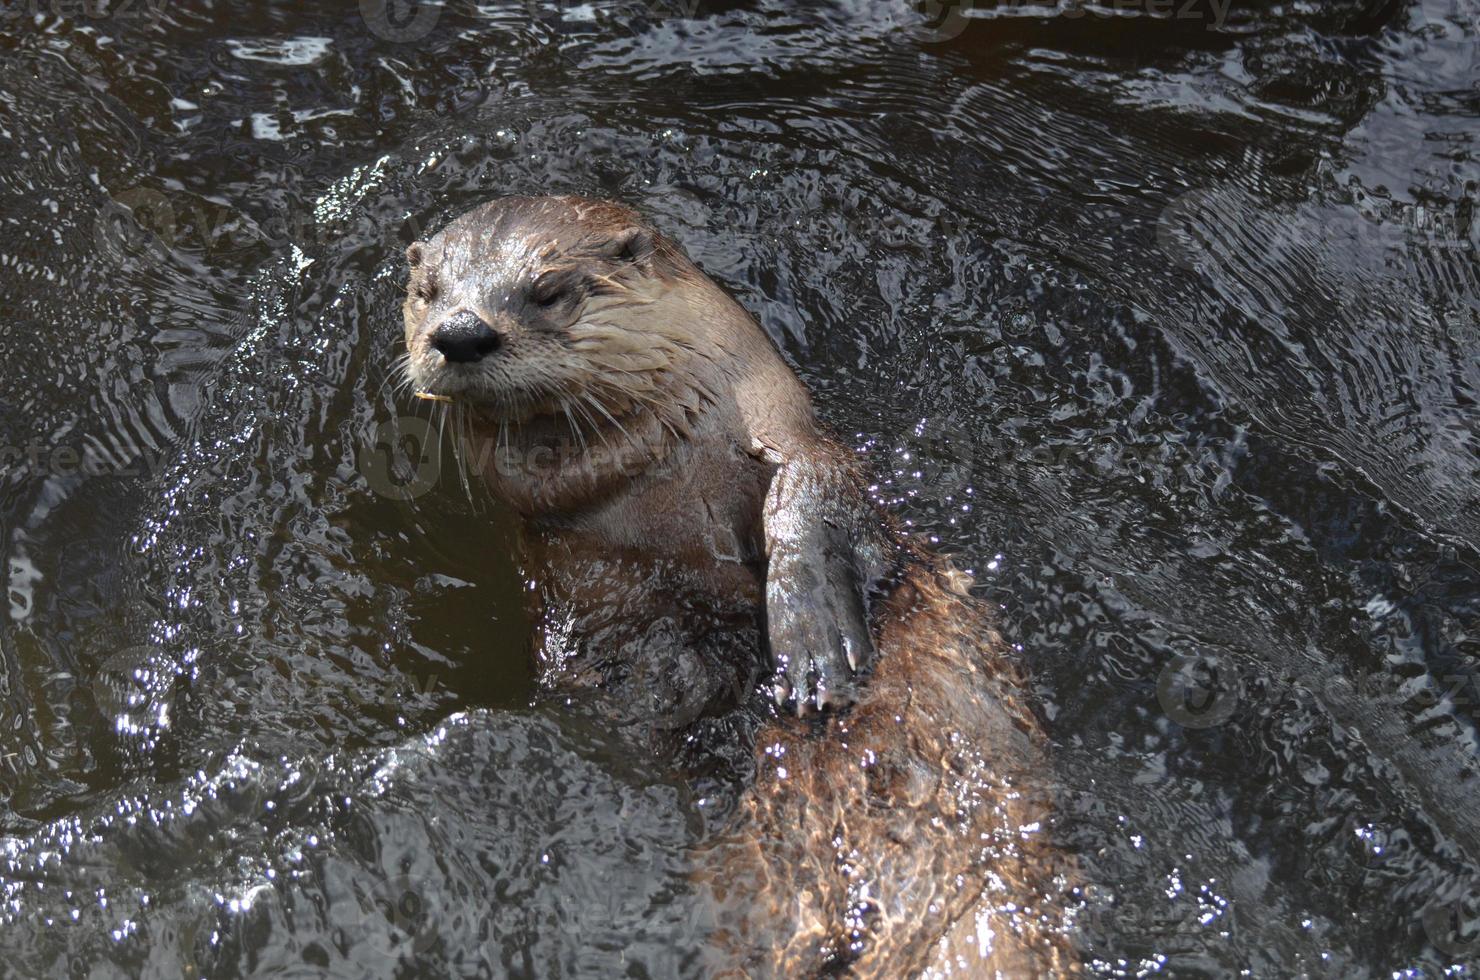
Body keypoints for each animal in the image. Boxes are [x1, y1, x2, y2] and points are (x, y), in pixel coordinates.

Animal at [402, 198, 1077, 977]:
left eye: (547, 290)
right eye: (428, 293)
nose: (460, 332)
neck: (665, 494)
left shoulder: (794, 440)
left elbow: (809, 501)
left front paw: (814, 650)